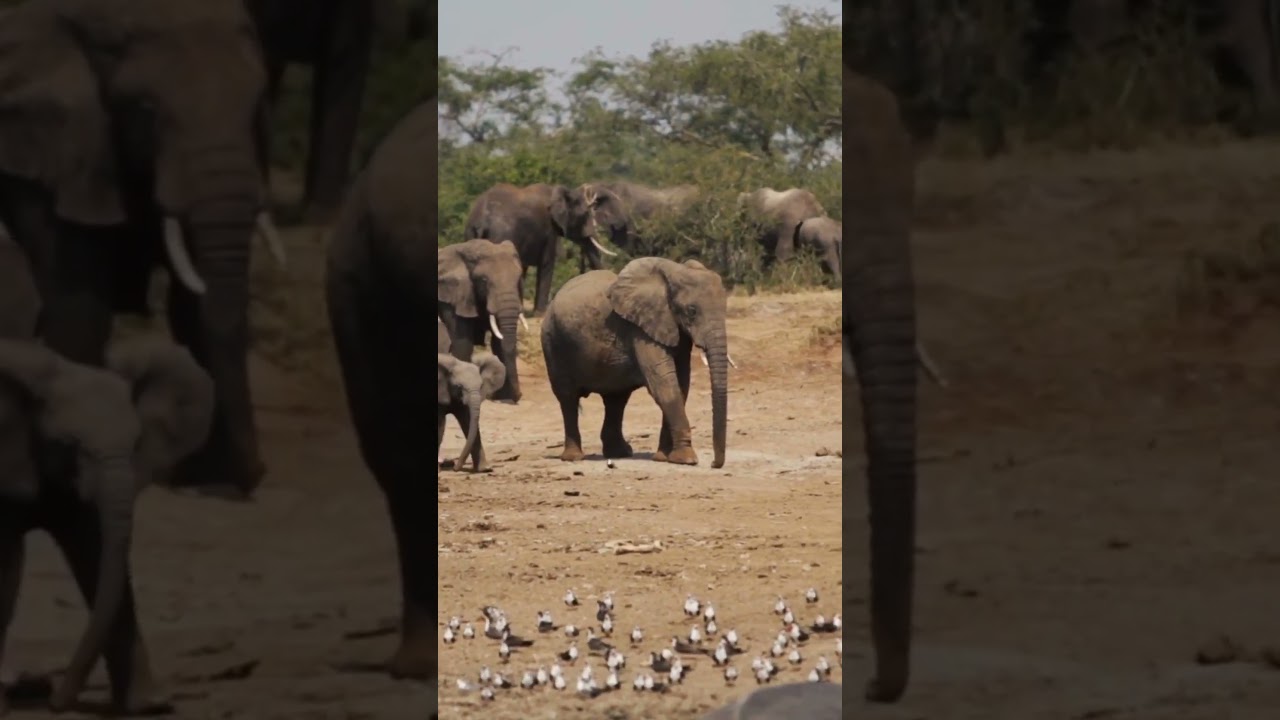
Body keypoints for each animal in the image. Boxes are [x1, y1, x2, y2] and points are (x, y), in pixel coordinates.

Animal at [0, 0, 287, 499]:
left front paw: (206, 477)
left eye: (257, 109)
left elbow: (192, 304)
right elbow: (79, 301)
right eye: (146, 113)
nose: (253, 476)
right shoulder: (54, 148)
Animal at [438, 239, 526, 403]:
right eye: (484, 281)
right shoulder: (453, 295)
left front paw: (504, 398)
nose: (518, 396)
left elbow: (498, 343)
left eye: (519, 280)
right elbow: (463, 343)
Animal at [463, 183, 619, 314]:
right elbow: (546, 263)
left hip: (470, 233)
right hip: (500, 235)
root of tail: (481, 220)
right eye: (584, 215)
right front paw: (540, 313)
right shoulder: (549, 231)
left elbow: (523, 267)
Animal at [541, 257, 729, 468]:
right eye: (692, 311)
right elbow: (664, 384)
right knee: (568, 398)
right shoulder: (640, 329)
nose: (714, 464)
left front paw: (663, 458)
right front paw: (686, 460)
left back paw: (619, 453)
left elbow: (681, 385)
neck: (673, 272)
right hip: (552, 342)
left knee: (616, 400)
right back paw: (574, 457)